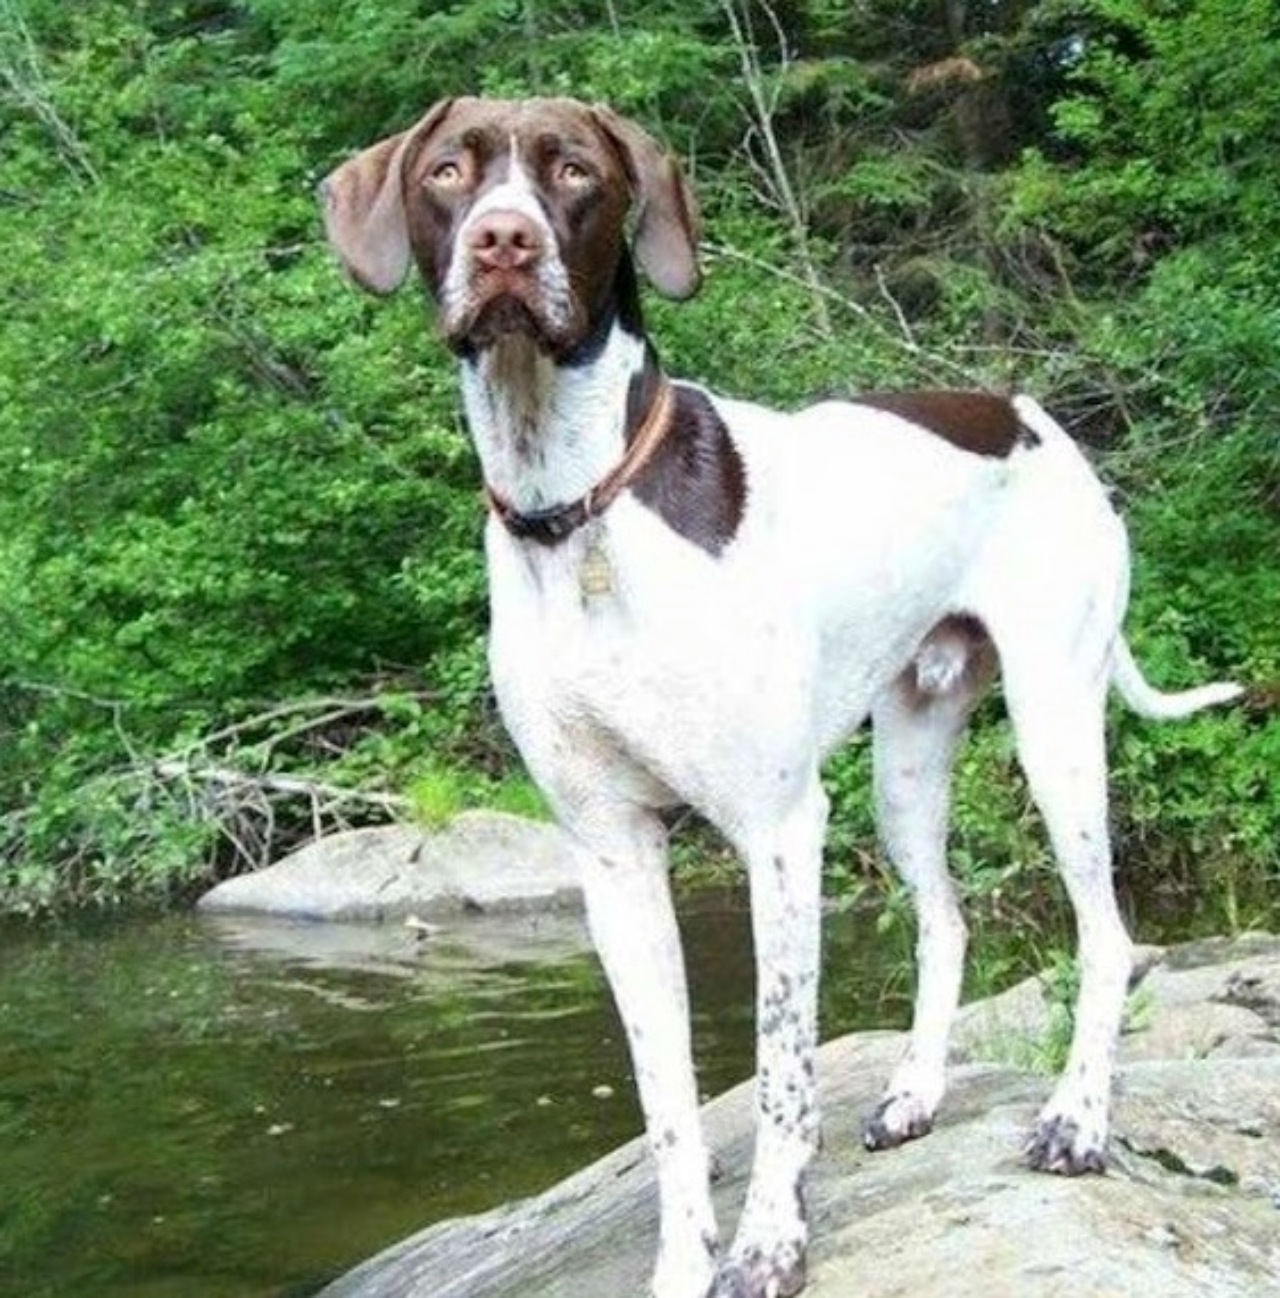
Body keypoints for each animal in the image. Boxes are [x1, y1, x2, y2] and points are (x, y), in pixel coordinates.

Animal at [316, 98, 1235, 1298]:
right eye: (445, 172)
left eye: (572, 170)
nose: (503, 242)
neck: (582, 506)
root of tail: (1030, 412)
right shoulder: (610, 856)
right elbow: (664, 1099)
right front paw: (679, 1260)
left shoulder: (777, 830)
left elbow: (778, 1065)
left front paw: (768, 1241)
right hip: (905, 767)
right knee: (945, 918)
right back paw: (916, 1092)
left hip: (1056, 732)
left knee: (1107, 938)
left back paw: (1075, 1119)